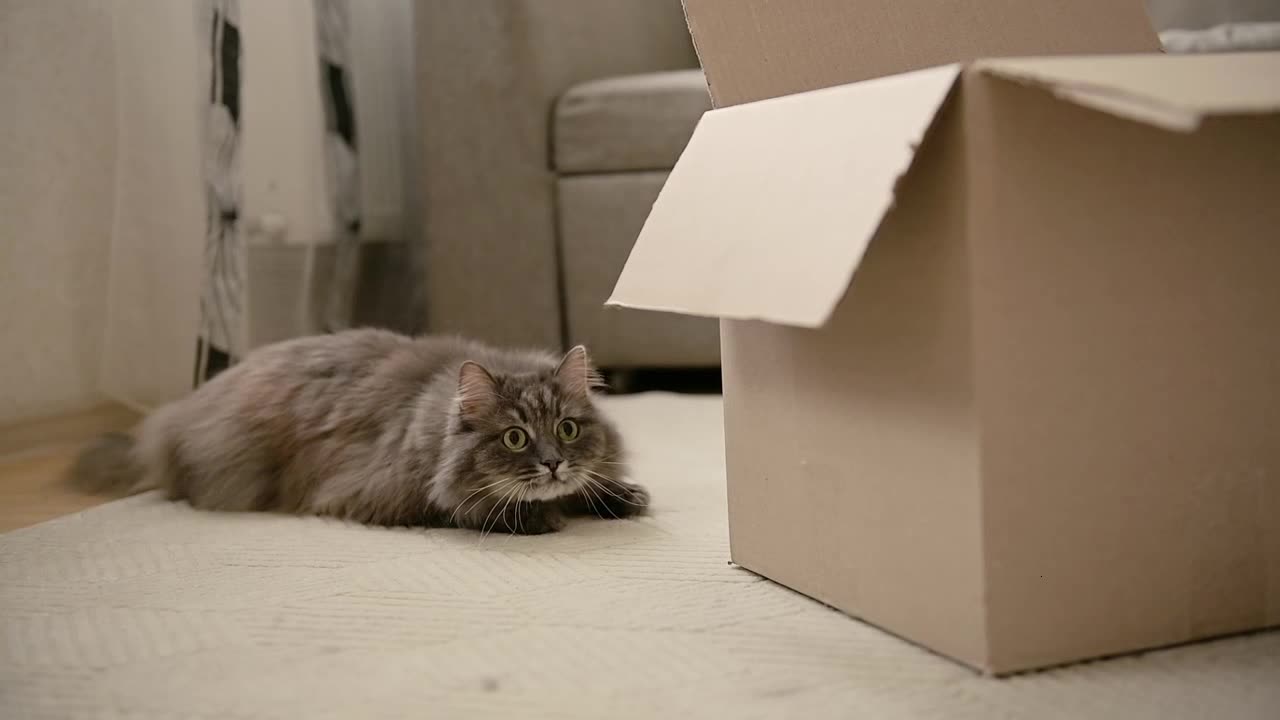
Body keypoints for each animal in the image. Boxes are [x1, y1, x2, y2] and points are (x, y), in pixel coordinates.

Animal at [67, 330, 650, 532]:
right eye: (515, 438)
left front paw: (623, 497)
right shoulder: (385, 492)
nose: (553, 463)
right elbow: (472, 509)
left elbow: (595, 488)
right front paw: (541, 516)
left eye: (568, 429)